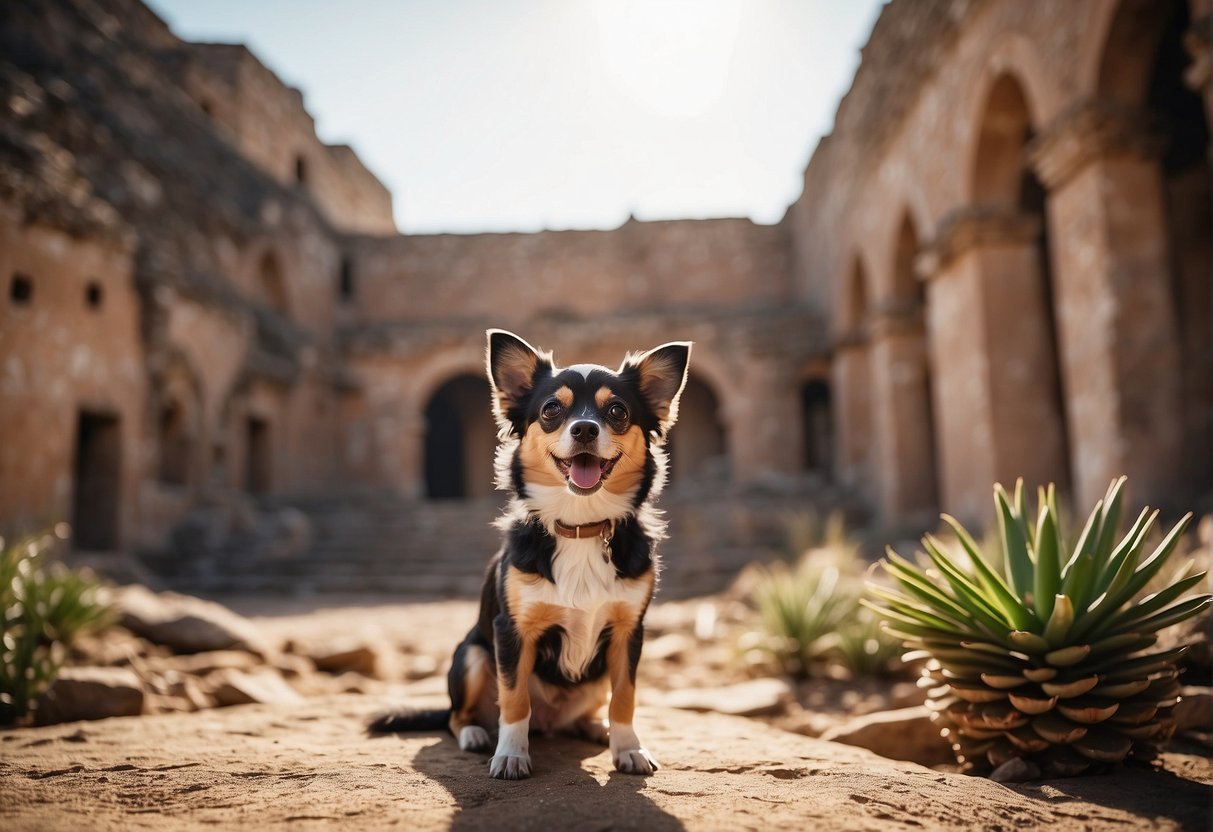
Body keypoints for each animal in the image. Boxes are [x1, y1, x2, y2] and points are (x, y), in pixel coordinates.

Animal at [368, 329, 693, 781]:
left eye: (617, 411)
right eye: (552, 409)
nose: (585, 429)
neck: (580, 526)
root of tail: (549, 723)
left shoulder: (629, 632)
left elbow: (625, 696)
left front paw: (628, 748)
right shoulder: (512, 630)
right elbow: (514, 699)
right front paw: (510, 756)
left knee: (588, 709)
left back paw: (596, 727)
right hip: (472, 655)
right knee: (458, 716)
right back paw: (476, 735)